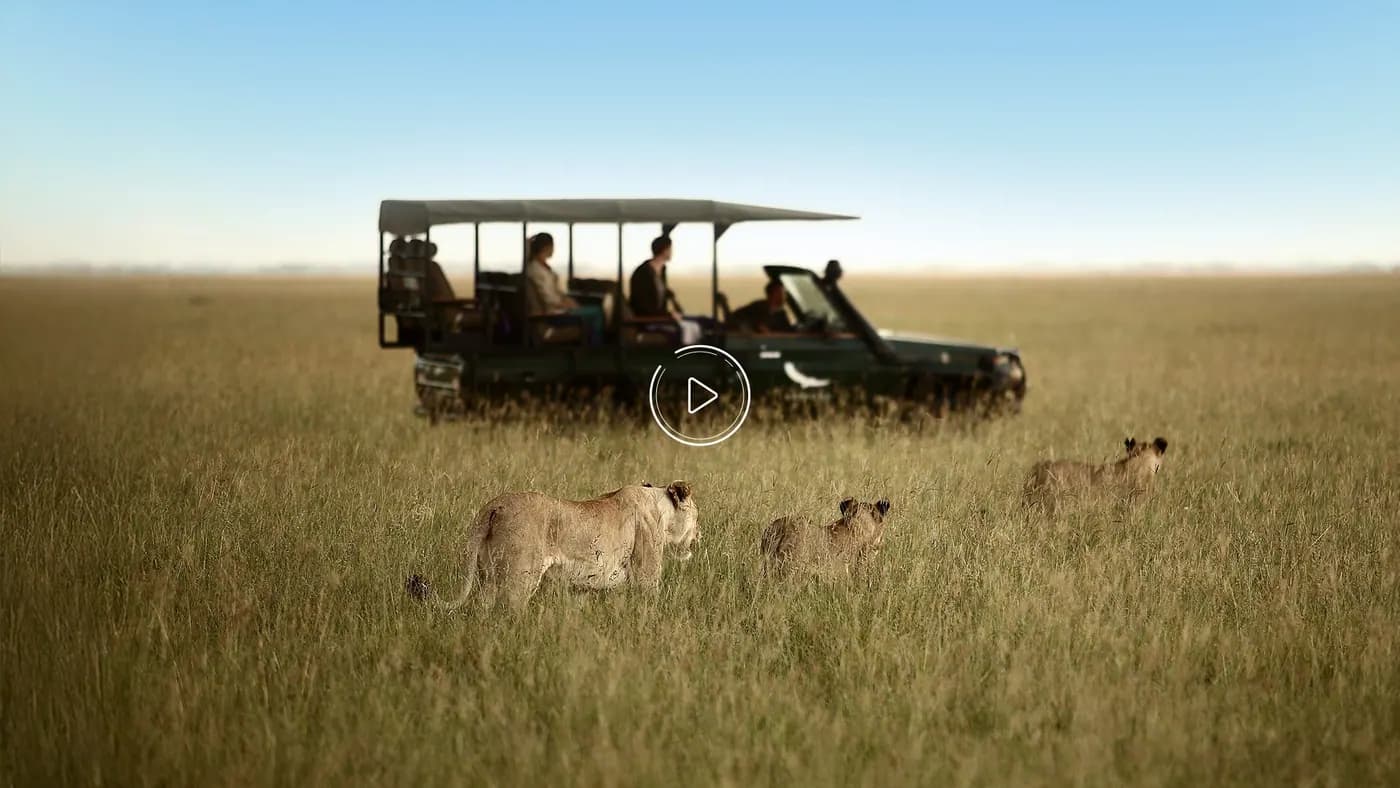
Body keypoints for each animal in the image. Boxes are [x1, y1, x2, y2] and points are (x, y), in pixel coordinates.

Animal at [407, 481, 698, 610]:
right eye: (697, 514)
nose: (700, 534)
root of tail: (494, 506)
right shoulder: (647, 575)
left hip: (487, 576)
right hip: (520, 577)